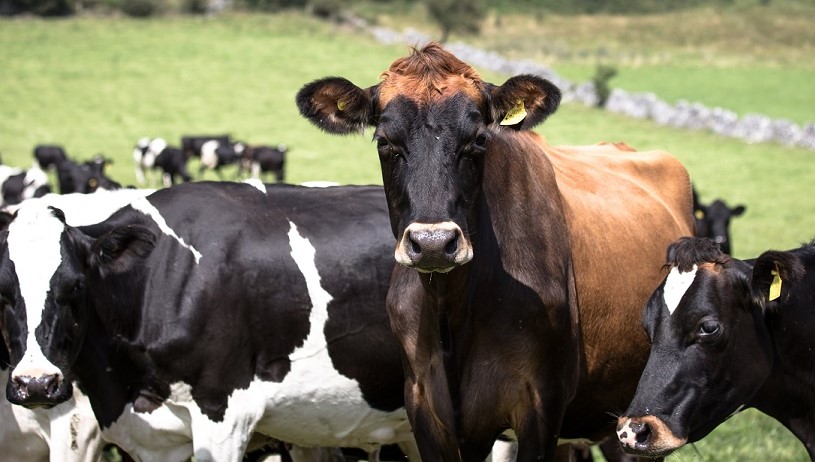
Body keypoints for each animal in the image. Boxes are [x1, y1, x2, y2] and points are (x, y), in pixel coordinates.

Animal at [297, 42, 694, 461]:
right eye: (385, 142)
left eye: (477, 140)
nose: (434, 243)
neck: (452, 318)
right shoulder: (425, 408)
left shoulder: (542, 406)